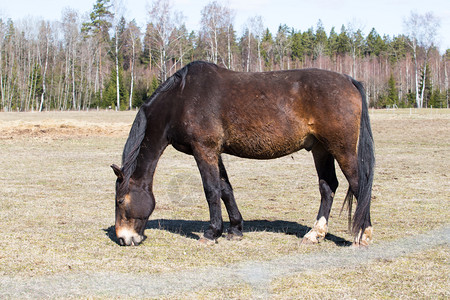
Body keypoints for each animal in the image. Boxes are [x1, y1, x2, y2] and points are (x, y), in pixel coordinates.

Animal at [110, 61, 374, 246]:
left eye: (120, 201)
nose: (123, 238)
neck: (181, 100)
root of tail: (349, 80)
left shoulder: (203, 149)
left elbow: (211, 190)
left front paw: (211, 233)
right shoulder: (214, 152)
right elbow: (225, 188)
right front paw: (235, 229)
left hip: (341, 149)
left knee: (358, 184)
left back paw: (363, 235)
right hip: (320, 149)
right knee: (328, 187)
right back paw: (314, 234)